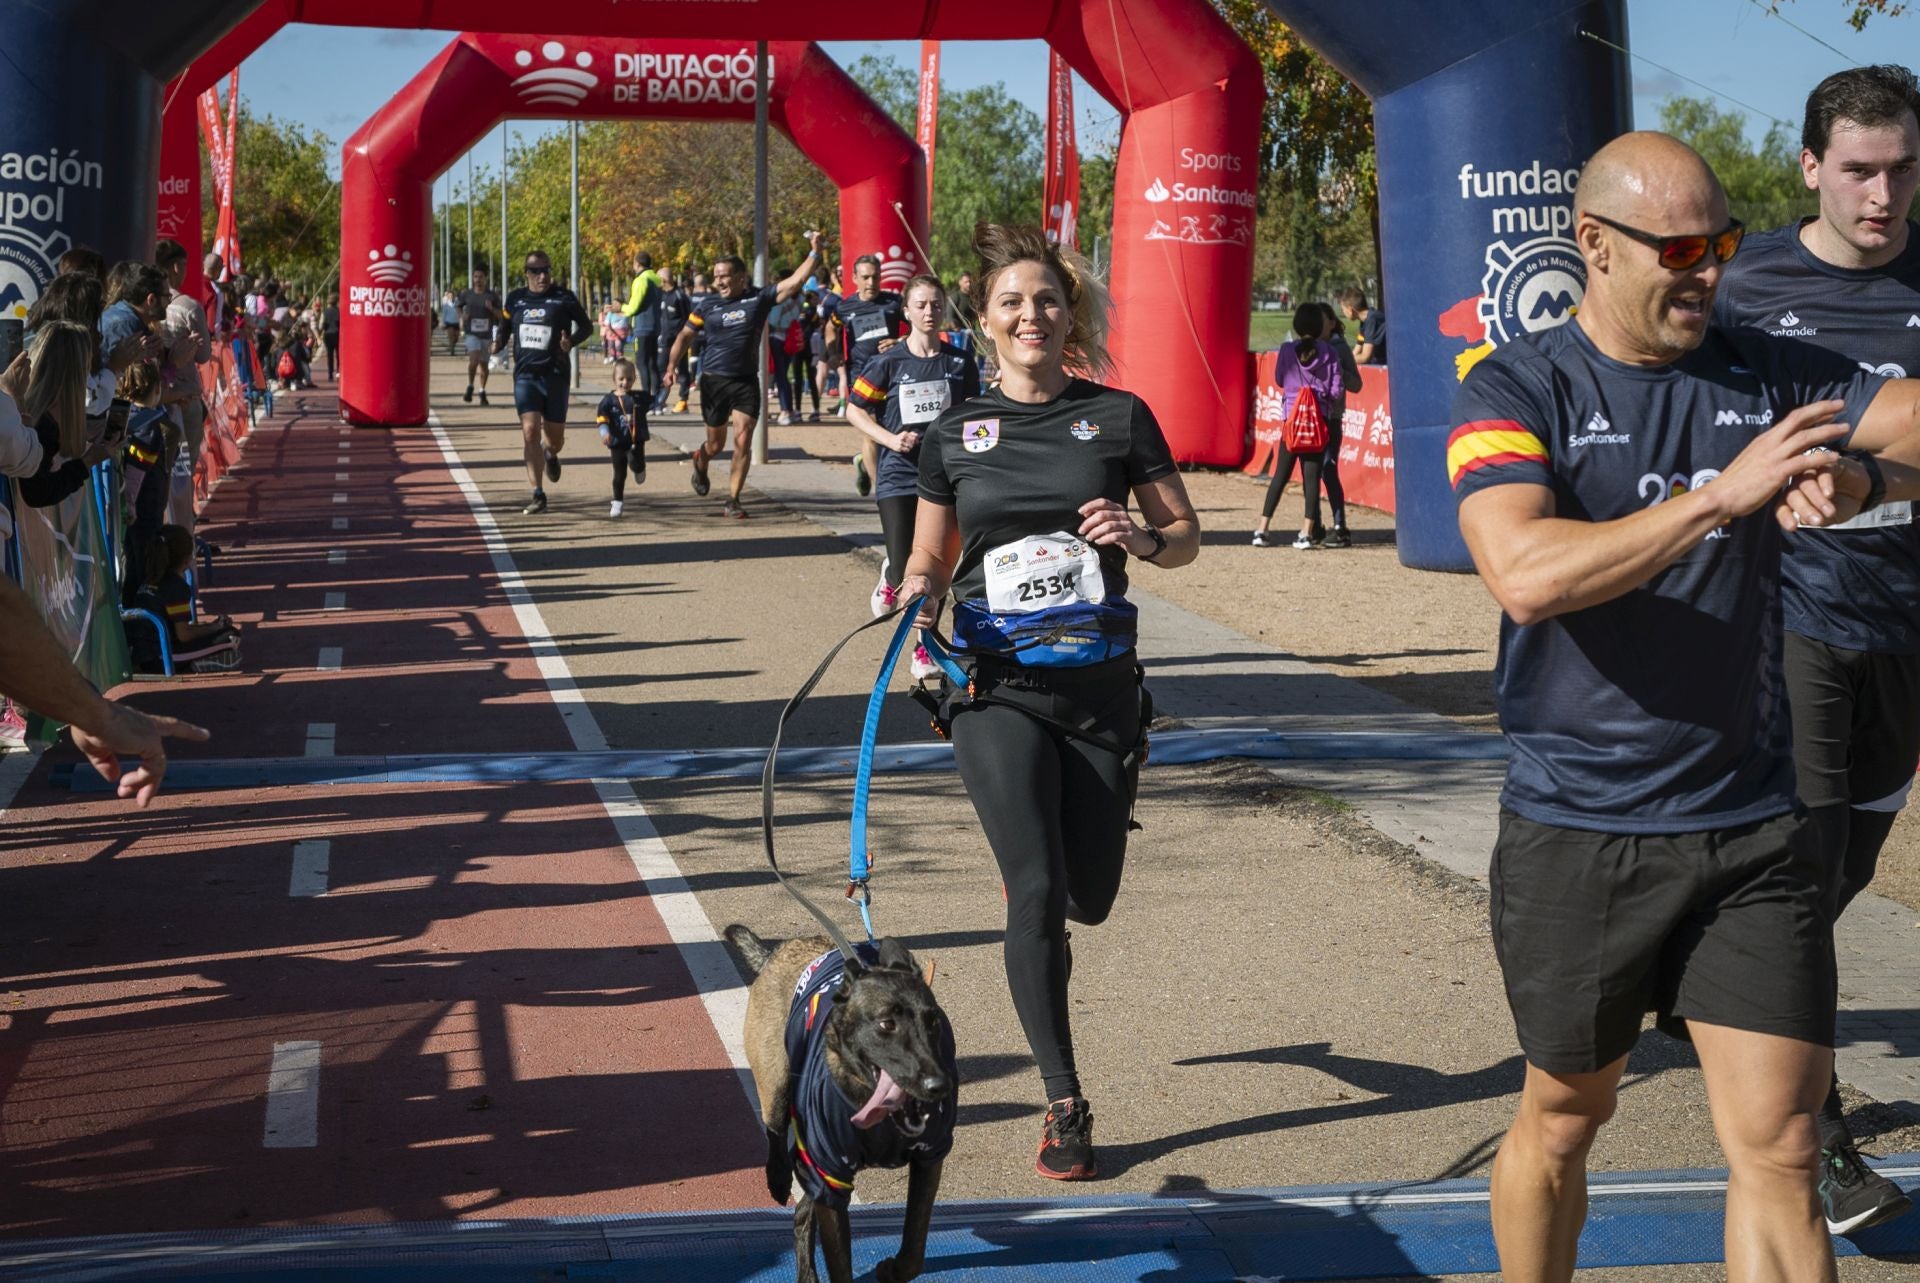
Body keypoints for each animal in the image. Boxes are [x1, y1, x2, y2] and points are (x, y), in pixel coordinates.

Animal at [721, 925, 956, 1283]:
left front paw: (894, 1269)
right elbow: (840, 1261)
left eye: (933, 1021)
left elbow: (915, 1244)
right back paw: (777, 1178)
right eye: (887, 1024)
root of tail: (786, 948)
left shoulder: (929, 1159)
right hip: (775, 1081)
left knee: (802, 1211)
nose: (938, 1086)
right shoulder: (829, 1175)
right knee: (775, 1131)